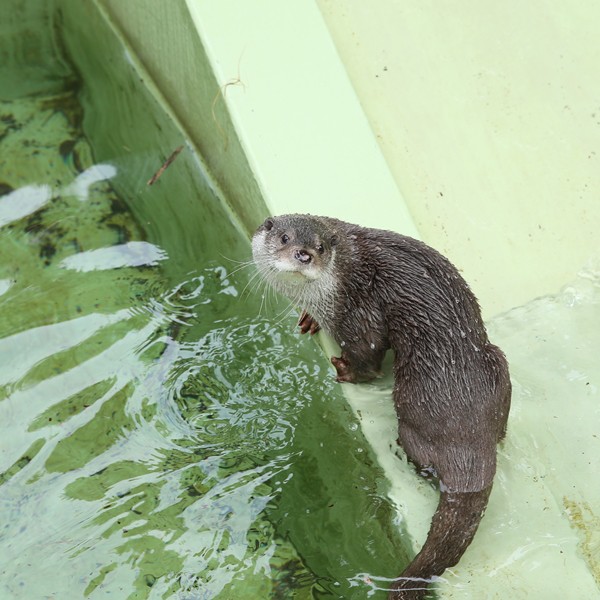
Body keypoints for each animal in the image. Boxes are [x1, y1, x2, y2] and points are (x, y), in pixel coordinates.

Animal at [251, 213, 508, 596]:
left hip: (410, 400)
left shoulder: (355, 311)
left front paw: (343, 369)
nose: (303, 255)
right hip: (497, 365)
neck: (336, 280)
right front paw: (308, 319)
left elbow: (367, 352)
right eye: (284, 237)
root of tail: (468, 442)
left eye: (320, 247)